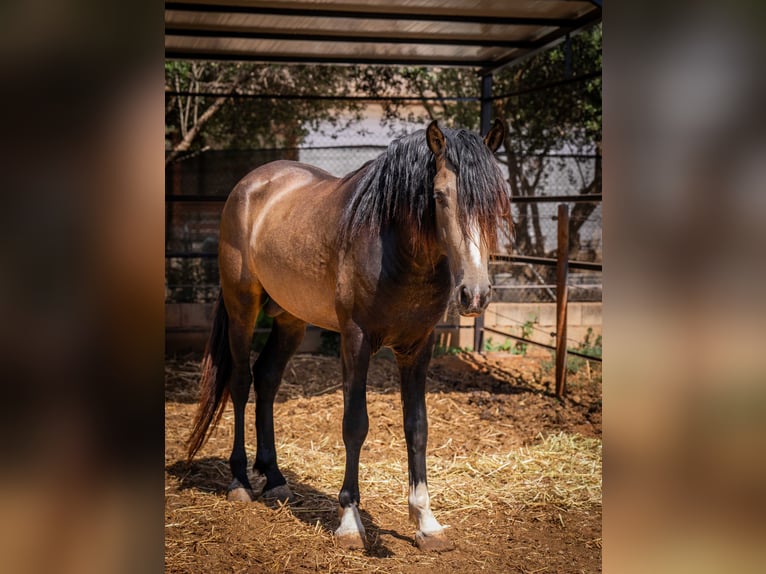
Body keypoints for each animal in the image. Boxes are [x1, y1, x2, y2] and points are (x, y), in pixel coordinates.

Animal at [186, 119, 512, 552]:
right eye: (440, 196)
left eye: (497, 201)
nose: (474, 295)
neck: (393, 248)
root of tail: (252, 183)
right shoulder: (355, 341)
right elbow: (355, 425)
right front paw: (350, 522)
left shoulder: (418, 347)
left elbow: (417, 427)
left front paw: (426, 522)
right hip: (242, 305)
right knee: (240, 382)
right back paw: (239, 481)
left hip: (290, 318)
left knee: (267, 379)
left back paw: (275, 479)